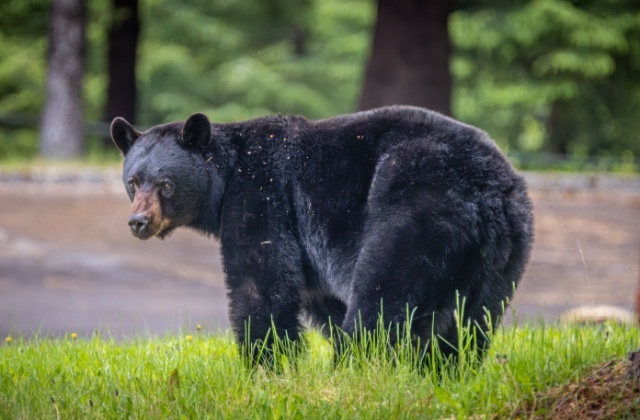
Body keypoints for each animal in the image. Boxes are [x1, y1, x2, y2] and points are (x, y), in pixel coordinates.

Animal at [111, 106, 536, 364]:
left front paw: (267, 364)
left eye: (165, 184)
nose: (139, 222)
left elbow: (260, 281)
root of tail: (488, 189)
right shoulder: (308, 248)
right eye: (133, 182)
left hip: (417, 211)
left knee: (384, 298)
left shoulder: (262, 196)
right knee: (472, 322)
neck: (227, 177)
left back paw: (353, 368)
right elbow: (319, 296)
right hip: (504, 253)